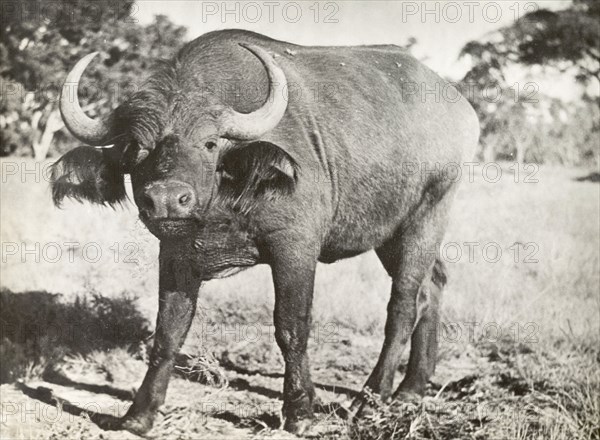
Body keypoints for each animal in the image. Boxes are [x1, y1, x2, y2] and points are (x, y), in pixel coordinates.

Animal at [52, 29, 478, 434]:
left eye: (210, 143)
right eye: (135, 148)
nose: (167, 199)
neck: (226, 192)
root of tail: (460, 109)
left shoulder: (295, 247)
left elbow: (291, 327)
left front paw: (300, 411)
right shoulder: (175, 254)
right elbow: (167, 332)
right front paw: (139, 414)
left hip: (427, 214)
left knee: (404, 305)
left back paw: (372, 397)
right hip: (389, 232)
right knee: (433, 285)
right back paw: (412, 388)